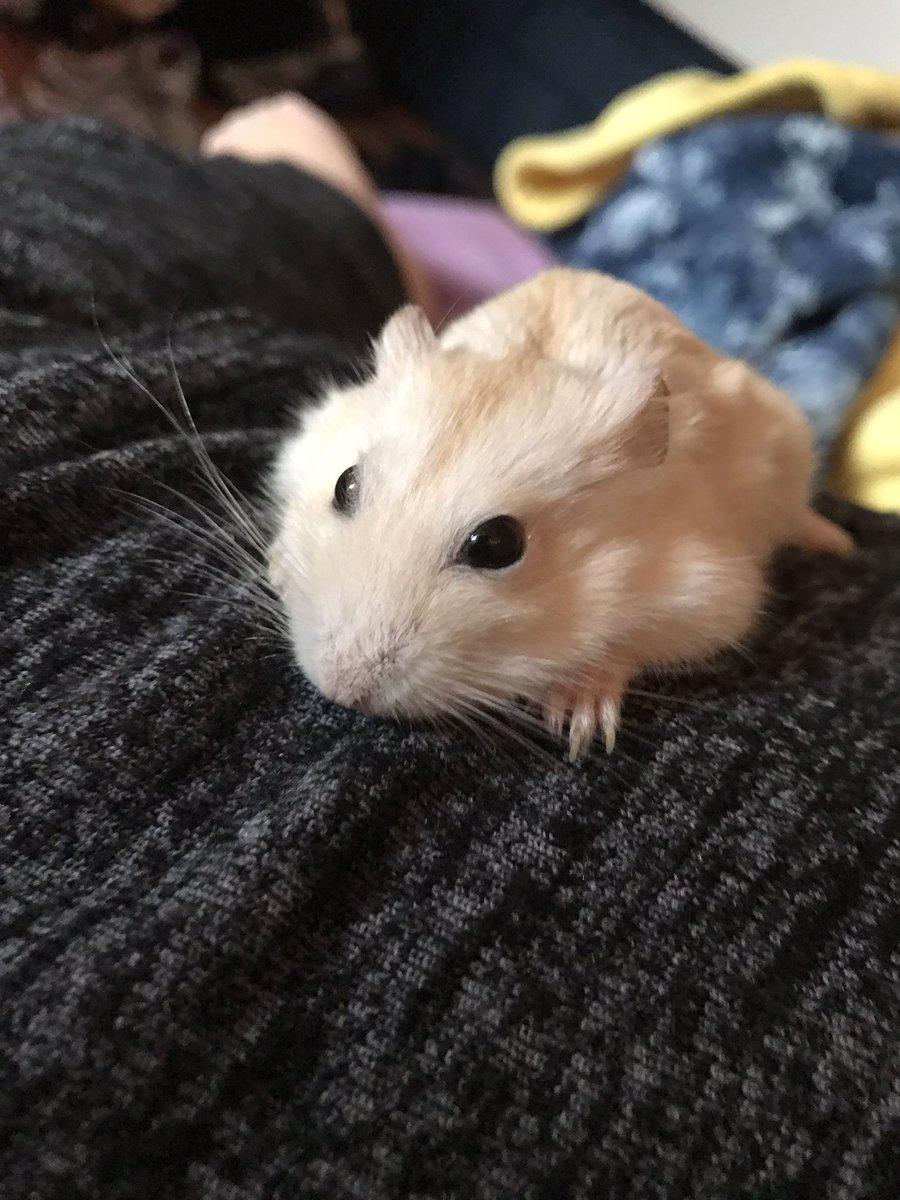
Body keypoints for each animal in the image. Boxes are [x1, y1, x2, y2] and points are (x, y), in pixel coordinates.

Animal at [267, 268, 853, 760]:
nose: (342, 690)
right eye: (344, 485)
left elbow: (624, 647)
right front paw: (276, 566)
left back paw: (842, 544)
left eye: (497, 543)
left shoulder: (707, 599)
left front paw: (579, 727)